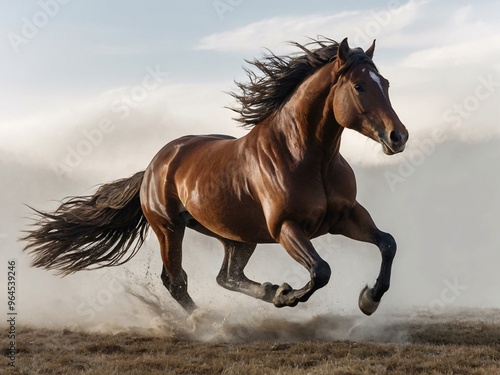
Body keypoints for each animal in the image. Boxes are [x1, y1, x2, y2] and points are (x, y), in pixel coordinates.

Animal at [21, 38, 408, 316]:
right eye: (359, 86)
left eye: (387, 83)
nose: (398, 137)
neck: (309, 158)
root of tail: (153, 166)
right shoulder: (286, 227)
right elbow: (321, 270)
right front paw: (290, 296)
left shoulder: (345, 216)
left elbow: (388, 243)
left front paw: (369, 300)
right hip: (169, 228)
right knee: (176, 281)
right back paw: (206, 322)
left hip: (236, 236)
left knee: (228, 277)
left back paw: (268, 291)